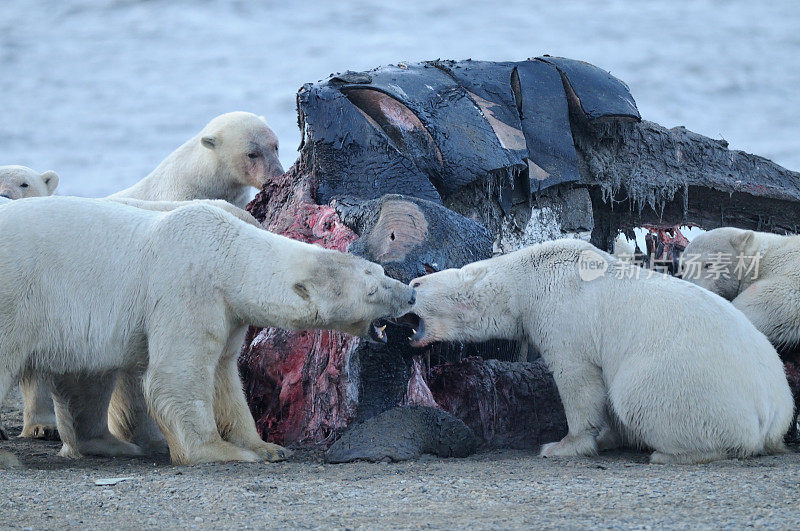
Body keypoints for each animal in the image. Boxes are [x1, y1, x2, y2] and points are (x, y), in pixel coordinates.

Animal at [0, 197, 416, 468]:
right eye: (373, 290)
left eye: (380, 271)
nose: (410, 293)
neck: (230, 252)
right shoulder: (189, 287)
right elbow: (178, 375)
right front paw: (222, 451)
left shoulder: (228, 310)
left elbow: (224, 376)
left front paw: (266, 446)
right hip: (17, 295)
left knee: (86, 379)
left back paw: (109, 445)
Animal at [404, 239, 792, 464]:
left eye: (417, 283)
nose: (407, 285)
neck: (525, 278)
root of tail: (769, 414)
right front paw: (606, 438)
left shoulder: (562, 313)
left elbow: (578, 379)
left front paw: (561, 446)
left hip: (685, 383)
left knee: (638, 395)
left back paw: (670, 454)